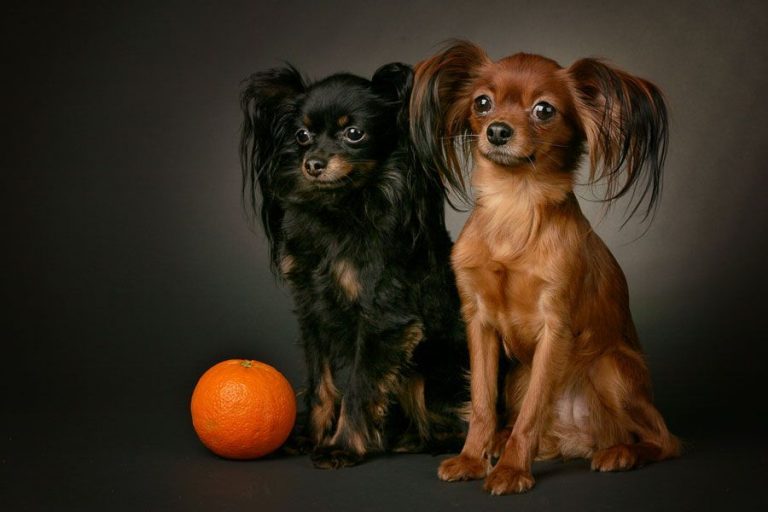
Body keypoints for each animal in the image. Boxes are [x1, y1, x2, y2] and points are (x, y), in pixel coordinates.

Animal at [240, 64, 468, 468]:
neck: (340, 209)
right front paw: (313, 436)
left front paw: (342, 447)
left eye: (354, 133)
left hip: (433, 374)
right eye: (302, 135)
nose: (313, 164)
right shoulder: (312, 311)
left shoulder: (383, 319)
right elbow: (322, 385)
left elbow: (359, 388)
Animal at [412, 42, 680, 494]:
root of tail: (577, 438)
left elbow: (532, 413)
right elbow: (482, 403)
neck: (514, 206)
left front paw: (511, 471)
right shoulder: (479, 323)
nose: (497, 131)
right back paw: (502, 443)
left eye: (543, 110)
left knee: (663, 439)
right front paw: (473, 458)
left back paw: (621, 453)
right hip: (518, 376)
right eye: (482, 103)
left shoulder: (555, 328)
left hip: (609, 368)